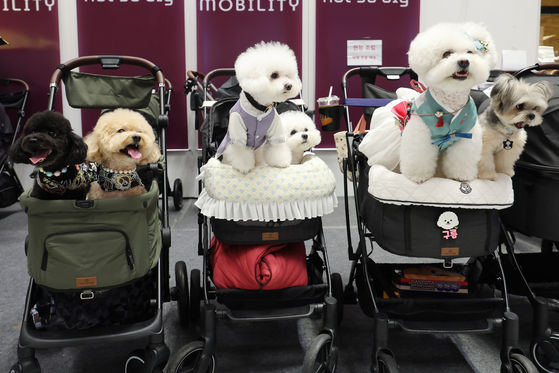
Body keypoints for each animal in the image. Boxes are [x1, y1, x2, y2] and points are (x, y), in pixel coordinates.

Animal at [214, 40, 302, 173]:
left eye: (288, 76)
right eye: (274, 75)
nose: (289, 85)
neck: (260, 108)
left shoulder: (275, 132)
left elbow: (276, 148)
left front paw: (280, 162)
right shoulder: (238, 133)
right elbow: (241, 152)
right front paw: (244, 167)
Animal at [400, 22, 500, 183]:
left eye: (470, 52)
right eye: (446, 54)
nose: (464, 61)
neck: (451, 100)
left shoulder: (466, 136)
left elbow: (461, 159)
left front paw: (461, 176)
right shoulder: (420, 136)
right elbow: (419, 157)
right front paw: (418, 176)